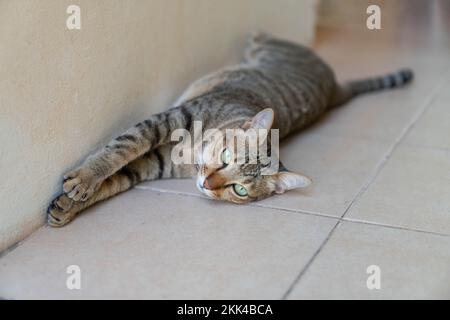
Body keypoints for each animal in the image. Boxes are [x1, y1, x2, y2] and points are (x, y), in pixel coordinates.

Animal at [47, 33, 414, 226]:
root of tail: (335, 86)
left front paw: (69, 204)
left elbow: (121, 177)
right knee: (261, 37)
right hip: (270, 47)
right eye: (225, 156)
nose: (208, 183)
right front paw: (85, 180)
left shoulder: (156, 163)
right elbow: (122, 148)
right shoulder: (169, 119)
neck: (189, 156)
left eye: (239, 190)